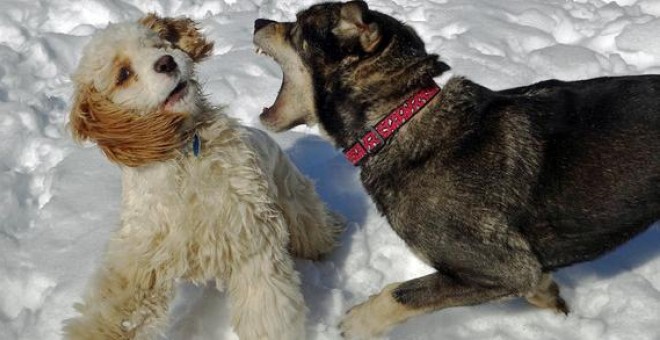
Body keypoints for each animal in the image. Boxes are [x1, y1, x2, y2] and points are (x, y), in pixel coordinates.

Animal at [63, 14, 342, 338]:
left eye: (159, 43)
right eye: (123, 74)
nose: (167, 62)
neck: (184, 154)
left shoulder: (251, 240)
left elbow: (267, 311)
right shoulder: (142, 256)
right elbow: (115, 311)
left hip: (297, 202)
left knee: (316, 231)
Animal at [253, 1, 660, 338]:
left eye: (297, 27)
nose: (257, 21)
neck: (400, 120)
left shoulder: (508, 266)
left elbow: (400, 294)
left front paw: (356, 323)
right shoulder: (520, 274)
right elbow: (539, 290)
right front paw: (554, 303)